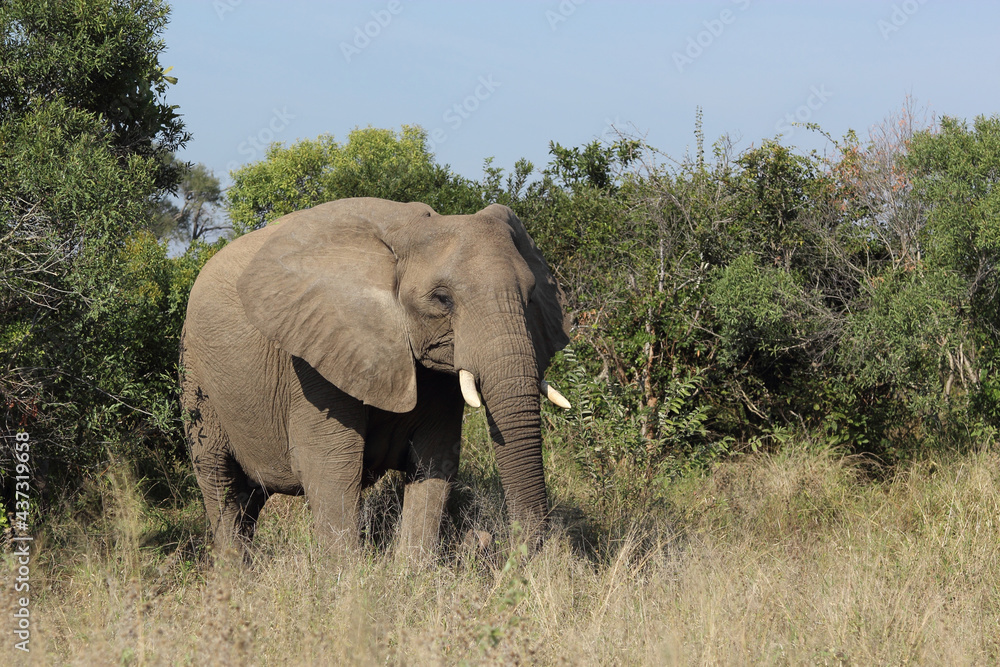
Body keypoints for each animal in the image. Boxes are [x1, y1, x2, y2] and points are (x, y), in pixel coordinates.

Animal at [180, 197, 572, 560]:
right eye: (442, 299)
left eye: (531, 297)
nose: (490, 543)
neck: (409, 230)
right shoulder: (314, 361)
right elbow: (329, 470)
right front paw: (346, 580)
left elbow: (435, 462)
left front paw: (412, 573)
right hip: (196, 379)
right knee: (220, 482)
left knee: (248, 499)